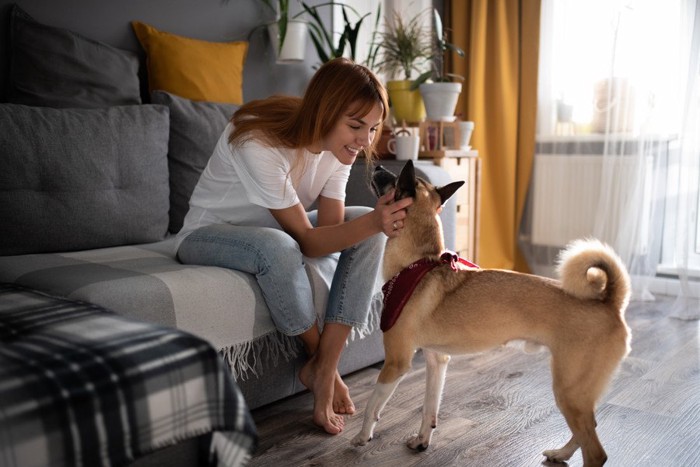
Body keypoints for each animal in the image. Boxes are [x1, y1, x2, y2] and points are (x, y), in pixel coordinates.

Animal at [352, 162, 632, 467]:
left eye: (392, 181)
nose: (379, 165)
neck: (419, 264)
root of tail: (609, 302)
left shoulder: (396, 363)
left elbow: (372, 406)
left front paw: (362, 437)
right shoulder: (437, 360)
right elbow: (429, 408)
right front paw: (422, 440)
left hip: (569, 391)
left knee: (596, 451)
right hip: (577, 395)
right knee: (587, 431)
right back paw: (560, 453)